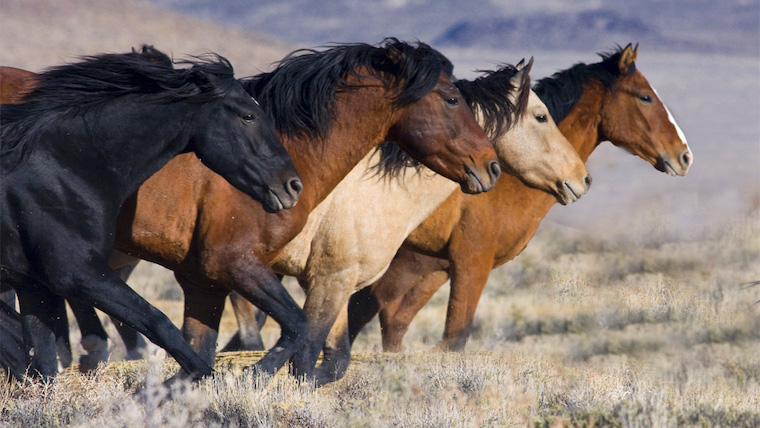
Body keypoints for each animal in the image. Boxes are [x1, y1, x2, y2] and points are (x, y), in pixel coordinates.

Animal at [0, 46, 301, 380]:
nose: (292, 186)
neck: (63, 165)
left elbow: (42, 363)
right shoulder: (78, 274)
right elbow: (160, 324)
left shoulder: (35, 286)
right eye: (248, 115)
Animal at [346, 43, 694, 352]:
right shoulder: (470, 263)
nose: (685, 156)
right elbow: (452, 338)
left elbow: (393, 324)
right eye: (645, 97)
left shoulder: (431, 265)